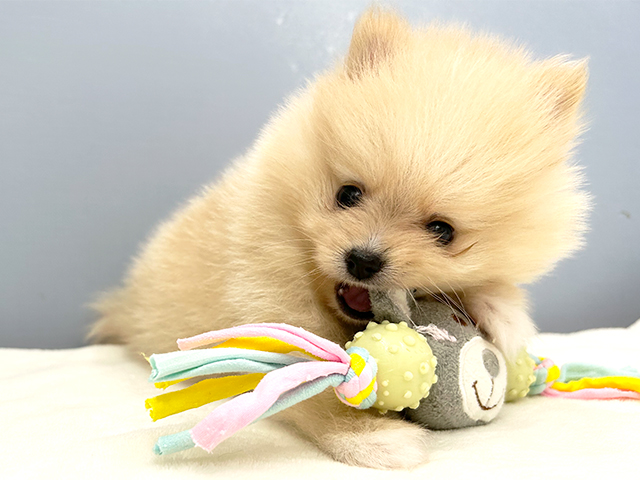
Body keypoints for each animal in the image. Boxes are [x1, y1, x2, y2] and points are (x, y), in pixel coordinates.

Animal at [90, 9, 590, 469]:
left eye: (442, 231)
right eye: (348, 194)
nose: (363, 260)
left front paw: (502, 310)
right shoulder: (268, 302)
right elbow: (317, 389)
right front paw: (369, 437)